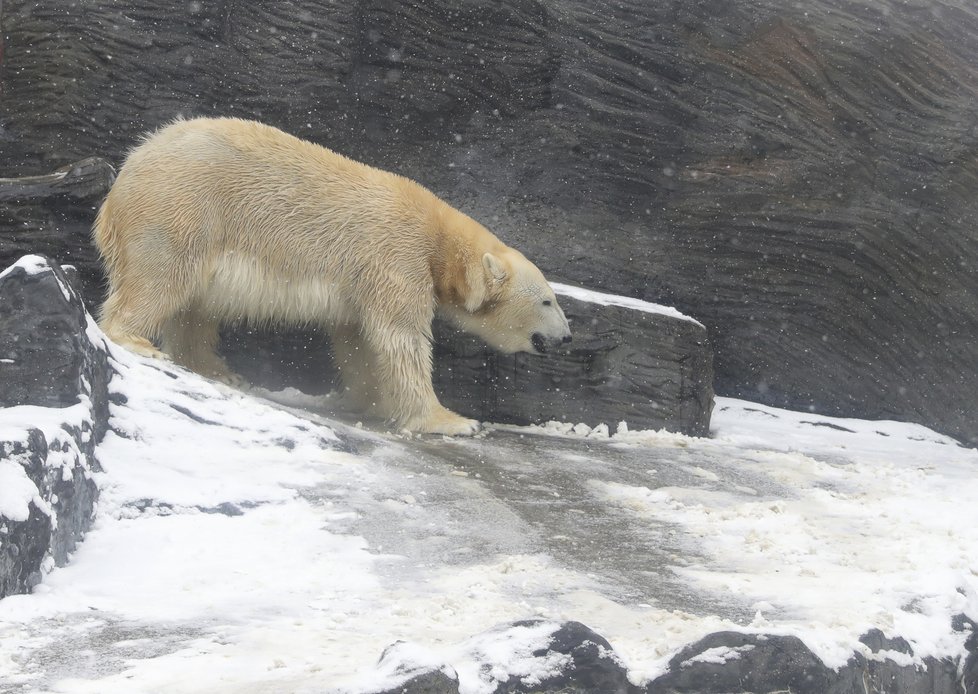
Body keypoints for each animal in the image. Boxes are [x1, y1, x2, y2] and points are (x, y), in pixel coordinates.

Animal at [94, 118, 568, 436]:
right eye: (548, 300)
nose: (565, 337)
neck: (439, 237)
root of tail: (126, 173)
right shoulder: (396, 256)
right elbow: (401, 338)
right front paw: (452, 421)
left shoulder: (363, 283)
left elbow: (357, 338)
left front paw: (371, 399)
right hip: (183, 209)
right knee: (161, 278)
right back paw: (137, 339)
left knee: (194, 305)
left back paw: (219, 370)